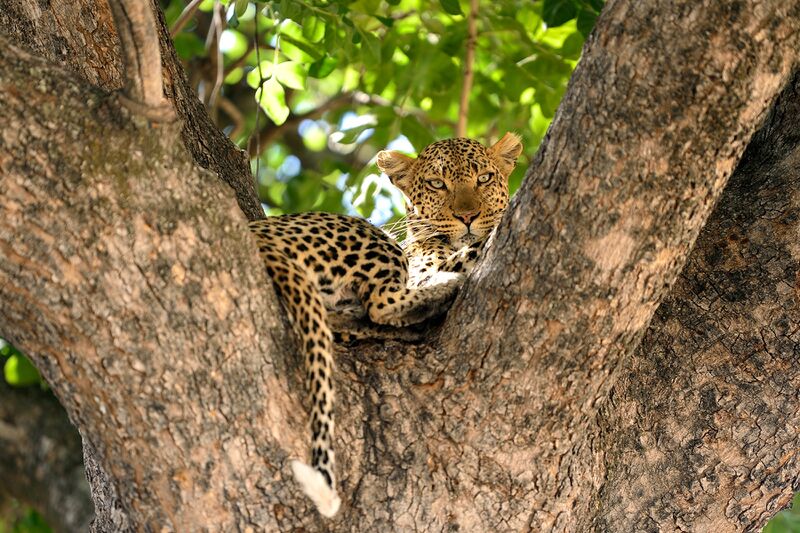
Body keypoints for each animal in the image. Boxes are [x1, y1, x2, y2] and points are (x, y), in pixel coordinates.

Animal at [248, 132, 523, 517]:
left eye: (483, 178)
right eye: (437, 184)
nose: (467, 216)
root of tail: (256, 231)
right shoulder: (421, 267)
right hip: (367, 235)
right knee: (382, 303)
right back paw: (445, 289)